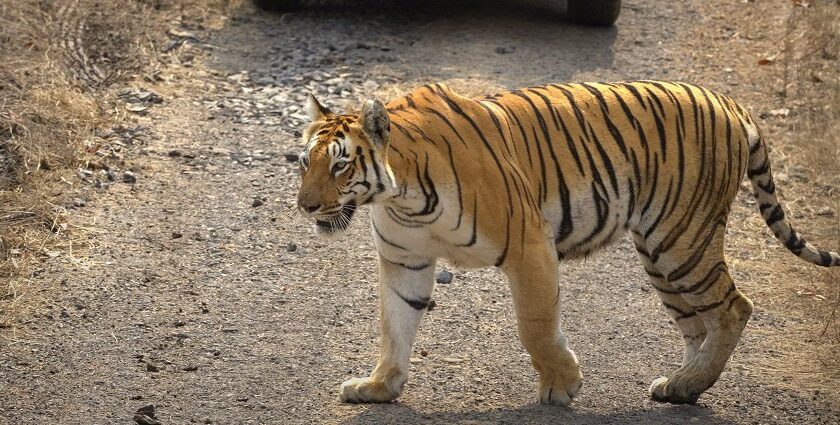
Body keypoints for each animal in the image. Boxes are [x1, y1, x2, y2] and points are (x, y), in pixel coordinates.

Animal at [296, 78, 840, 404]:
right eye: (305, 161)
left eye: (340, 164)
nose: (305, 206)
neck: (401, 195)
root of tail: (727, 101)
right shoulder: (404, 261)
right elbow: (395, 326)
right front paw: (378, 387)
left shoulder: (528, 244)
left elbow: (535, 327)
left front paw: (562, 386)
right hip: (661, 252)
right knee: (696, 323)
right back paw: (681, 386)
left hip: (683, 239)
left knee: (733, 308)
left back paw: (690, 383)